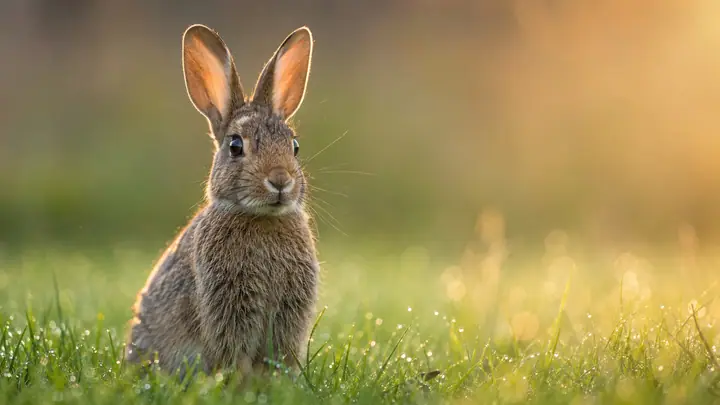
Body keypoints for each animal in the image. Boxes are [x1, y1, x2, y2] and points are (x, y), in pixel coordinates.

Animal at [125, 24, 319, 379]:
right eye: (235, 146)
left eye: (295, 146)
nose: (280, 180)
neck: (262, 219)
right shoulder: (228, 305)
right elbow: (234, 351)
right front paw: (239, 381)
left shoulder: (288, 313)